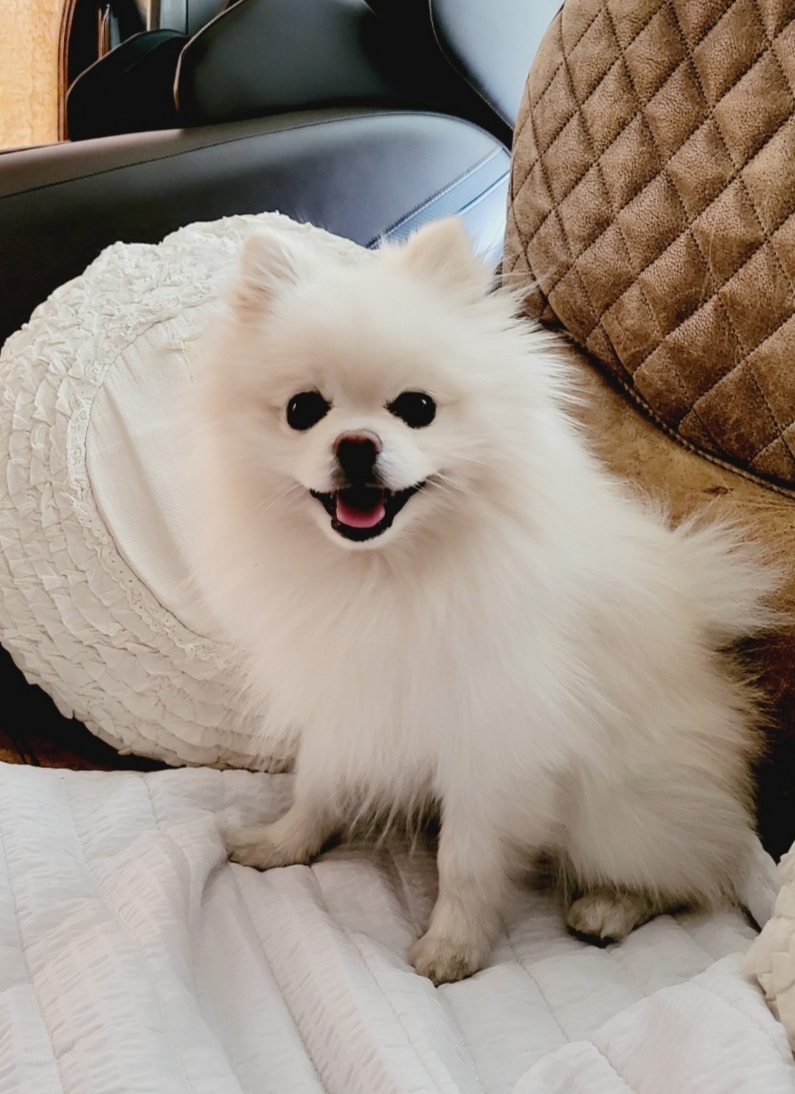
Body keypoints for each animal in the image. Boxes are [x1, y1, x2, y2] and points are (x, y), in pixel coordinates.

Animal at [187, 217, 776, 984]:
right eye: (302, 410)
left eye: (417, 408)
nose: (355, 444)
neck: (388, 576)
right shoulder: (346, 701)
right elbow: (316, 786)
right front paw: (286, 842)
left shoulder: (489, 741)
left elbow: (464, 860)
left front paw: (452, 947)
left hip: (616, 814)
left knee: (694, 872)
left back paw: (611, 906)